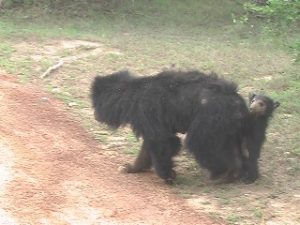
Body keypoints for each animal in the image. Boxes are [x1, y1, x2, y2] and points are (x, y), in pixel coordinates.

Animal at [91, 70, 278, 185]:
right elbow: (149, 145)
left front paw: (169, 176)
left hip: (209, 119)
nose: (95, 116)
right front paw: (129, 168)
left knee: (199, 143)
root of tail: (240, 104)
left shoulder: (147, 111)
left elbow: (162, 141)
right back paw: (239, 173)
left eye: (95, 104)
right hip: (228, 128)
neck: (131, 92)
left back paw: (225, 174)